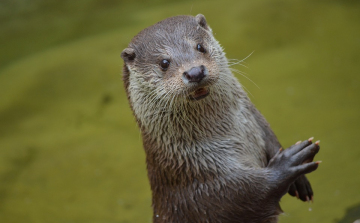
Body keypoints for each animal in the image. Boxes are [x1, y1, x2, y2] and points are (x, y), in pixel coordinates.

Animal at [120, 14, 320, 222]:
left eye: (200, 47)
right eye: (164, 63)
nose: (194, 72)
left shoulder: (257, 121)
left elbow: (271, 138)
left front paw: (299, 181)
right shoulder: (204, 187)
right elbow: (246, 195)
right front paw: (289, 163)